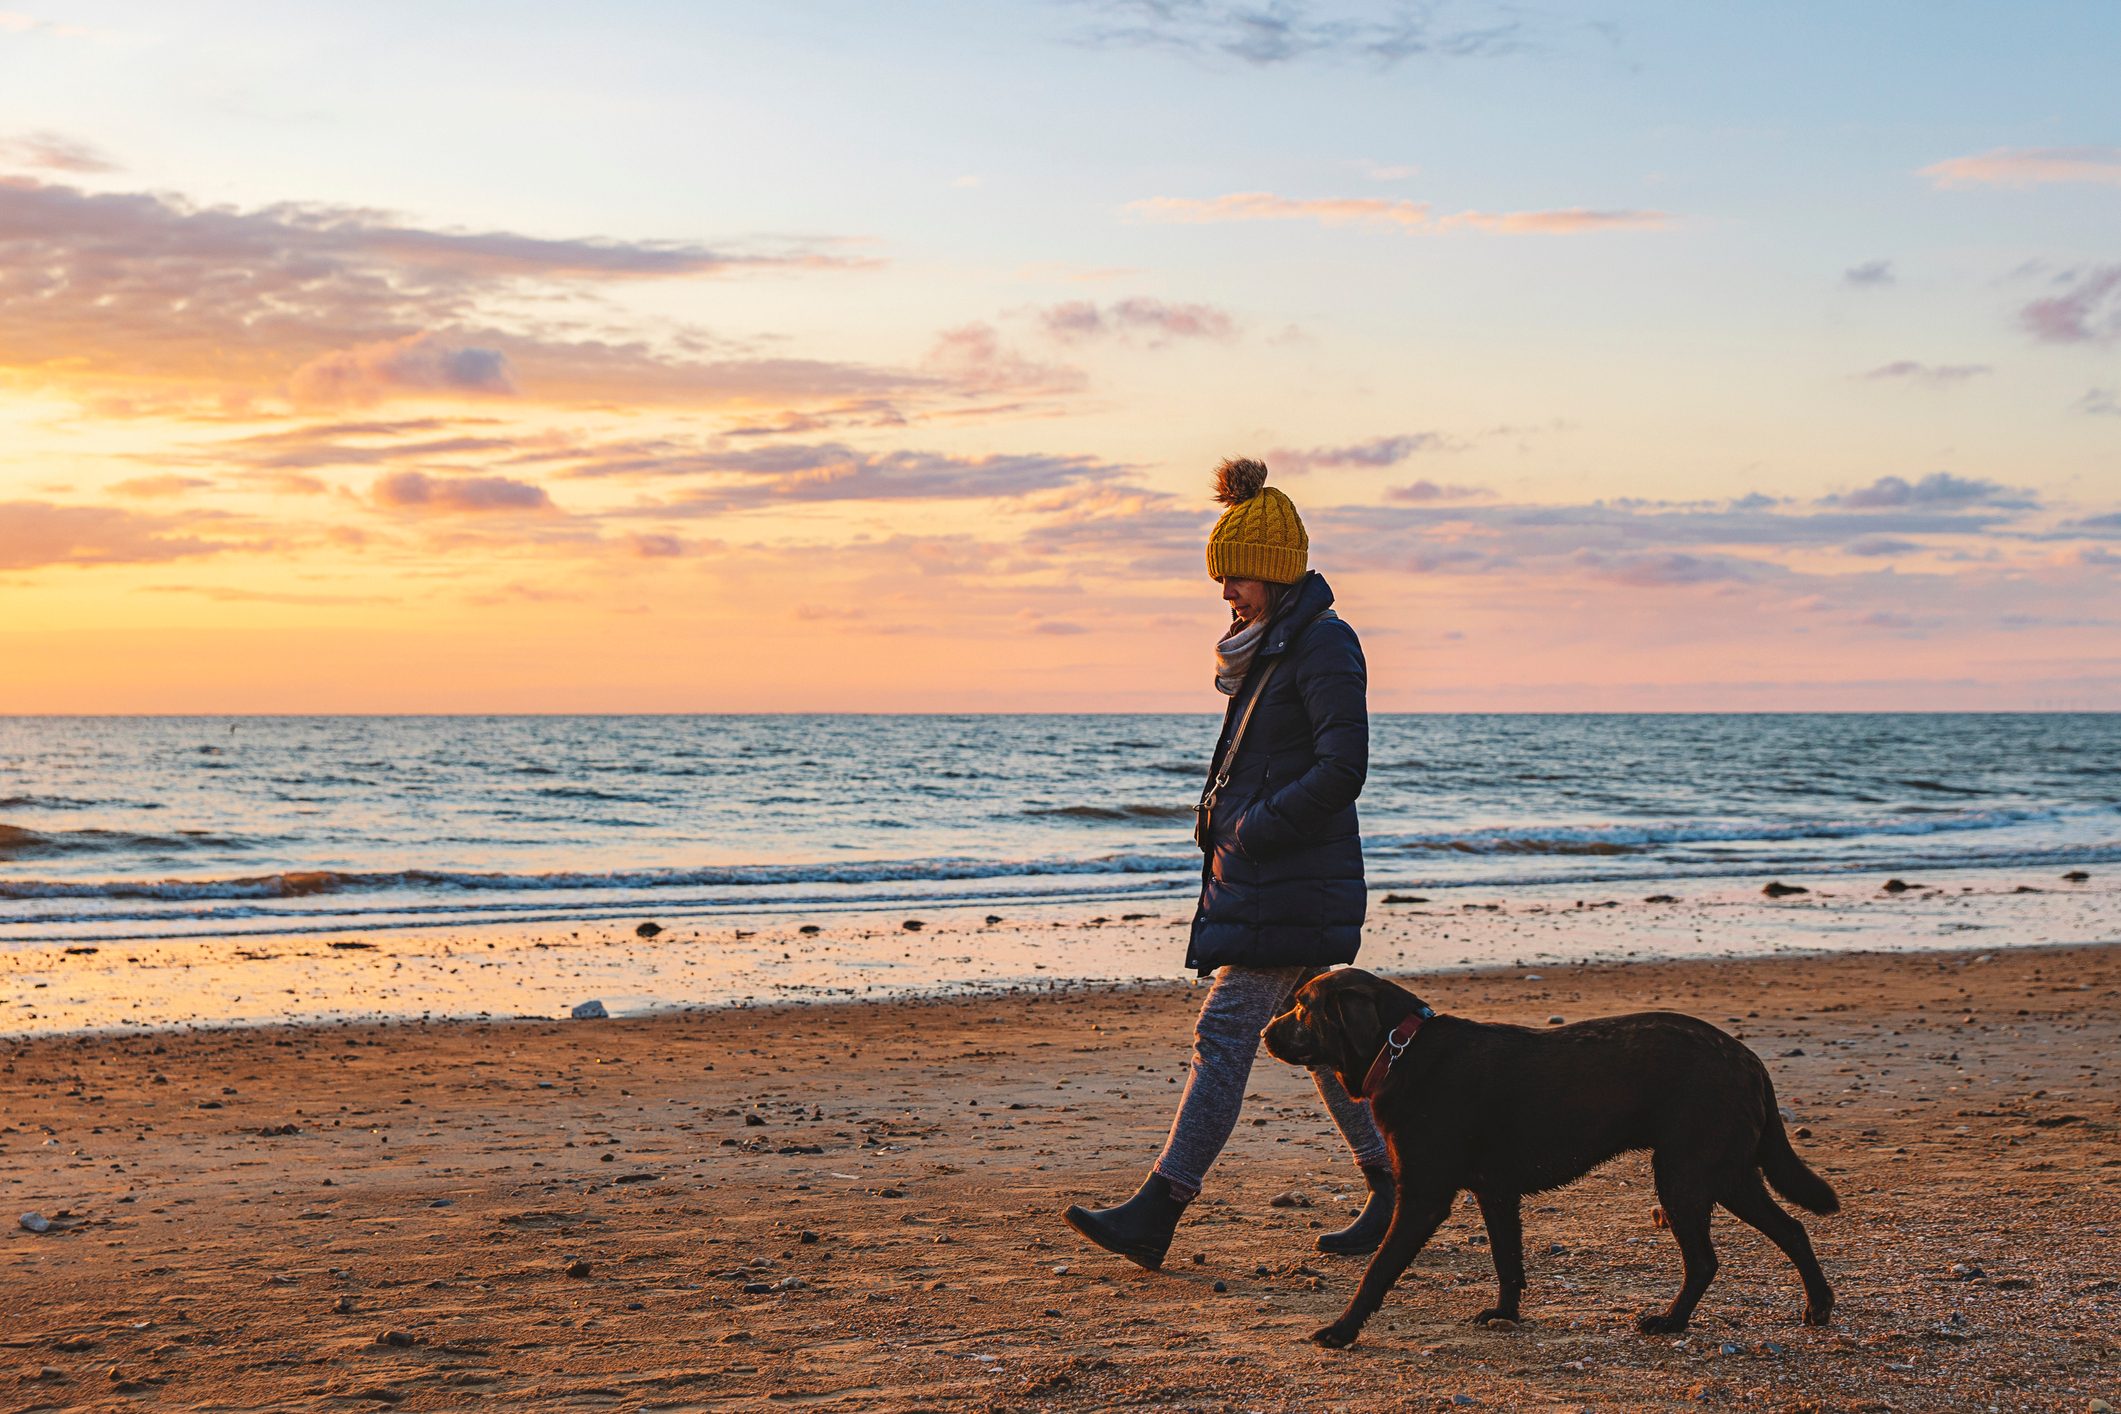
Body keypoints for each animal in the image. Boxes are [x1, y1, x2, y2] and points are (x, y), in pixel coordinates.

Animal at [1255, 975, 1841, 1348]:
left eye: (1302, 1006)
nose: (1262, 1032)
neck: (1403, 1048)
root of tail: (1748, 1058)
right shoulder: (1495, 1193)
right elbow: (1507, 1263)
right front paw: (1505, 1315)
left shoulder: (1423, 1197)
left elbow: (1378, 1270)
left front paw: (1342, 1331)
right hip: (1727, 1173)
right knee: (1792, 1230)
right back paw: (1818, 1306)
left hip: (1686, 1175)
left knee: (1705, 1260)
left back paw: (1671, 1323)